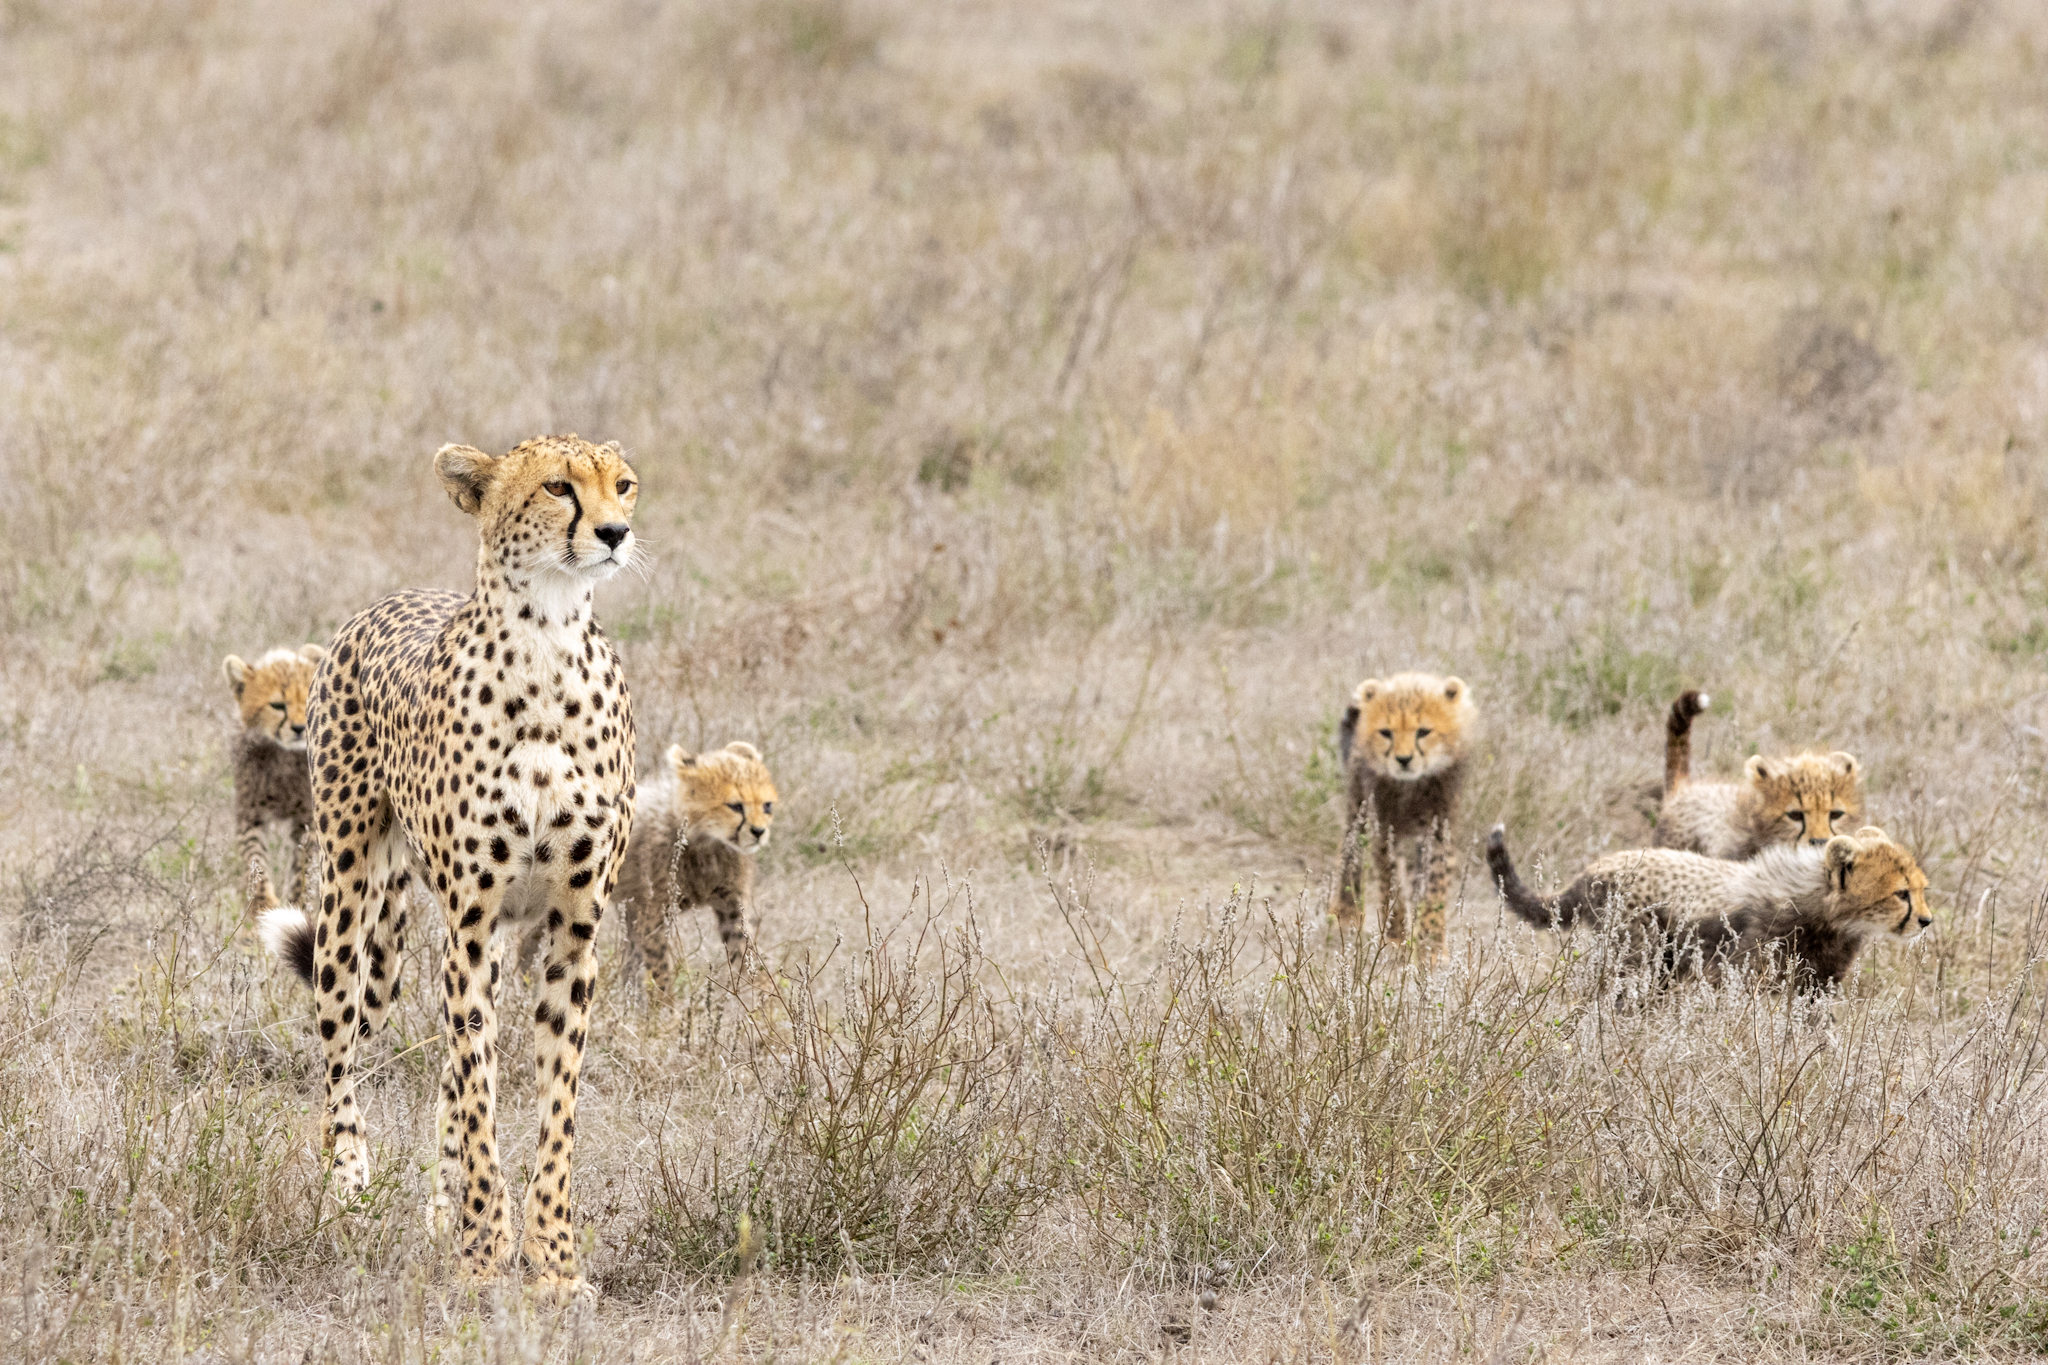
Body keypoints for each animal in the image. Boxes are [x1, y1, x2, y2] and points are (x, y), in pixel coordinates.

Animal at [224, 643, 326, 919]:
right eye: (278, 705)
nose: (300, 728)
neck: (284, 756)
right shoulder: (250, 814)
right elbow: (254, 858)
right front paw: (263, 905)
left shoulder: (307, 820)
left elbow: (303, 868)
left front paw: (296, 903)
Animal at [258, 434, 639, 1299]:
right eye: (559, 487)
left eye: (624, 485)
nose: (615, 533)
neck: (548, 640)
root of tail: (390, 598)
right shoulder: (468, 924)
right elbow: (480, 1097)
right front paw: (484, 1253)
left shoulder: (571, 933)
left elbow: (551, 1110)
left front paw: (553, 1261)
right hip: (349, 892)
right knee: (343, 1051)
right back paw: (351, 1186)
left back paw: (442, 1208)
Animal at [1331, 672, 1475, 954]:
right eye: (1386, 733)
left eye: (1423, 732)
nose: (1404, 760)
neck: (1411, 786)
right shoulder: (1384, 829)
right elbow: (1391, 883)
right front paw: (1395, 938)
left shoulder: (1437, 830)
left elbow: (1433, 886)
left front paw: (1431, 946)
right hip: (1357, 806)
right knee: (1351, 854)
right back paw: (1345, 913)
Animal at [1485, 822, 1931, 993]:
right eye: (1901, 893)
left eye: (1922, 889)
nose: (1926, 921)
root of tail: (1594, 868)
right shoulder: (1733, 974)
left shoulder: (1816, 987)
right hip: (1639, 958)